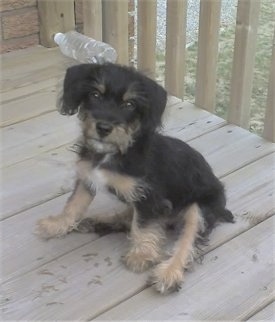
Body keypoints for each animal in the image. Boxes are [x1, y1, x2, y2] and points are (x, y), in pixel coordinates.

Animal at [37, 63, 235, 294]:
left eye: (129, 104)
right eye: (95, 95)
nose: (103, 128)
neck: (116, 151)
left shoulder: (149, 197)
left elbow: (142, 226)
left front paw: (141, 255)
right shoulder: (87, 177)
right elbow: (74, 205)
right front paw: (57, 224)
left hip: (199, 208)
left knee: (188, 240)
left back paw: (169, 273)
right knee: (129, 214)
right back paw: (100, 222)